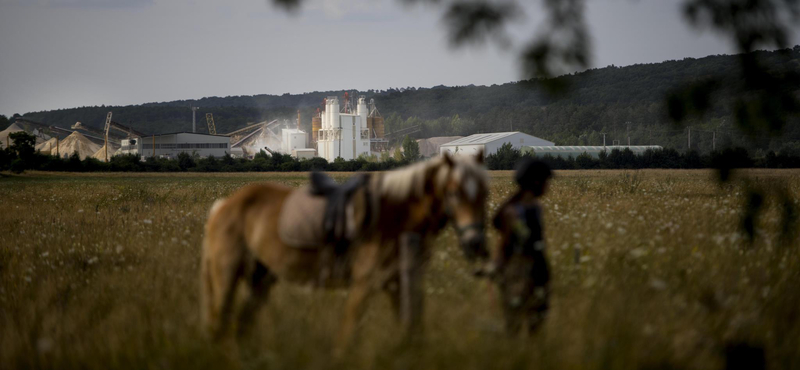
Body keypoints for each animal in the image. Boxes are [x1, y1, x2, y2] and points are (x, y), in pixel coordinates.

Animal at [200, 151, 488, 356]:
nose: (476, 243)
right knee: (220, 324)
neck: (395, 215)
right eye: (454, 192)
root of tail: (224, 205)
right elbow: (349, 334)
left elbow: (411, 329)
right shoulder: (365, 283)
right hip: (226, 275)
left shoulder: (398, 282)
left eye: (484, 193)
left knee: (240, 325)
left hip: (262, 278)